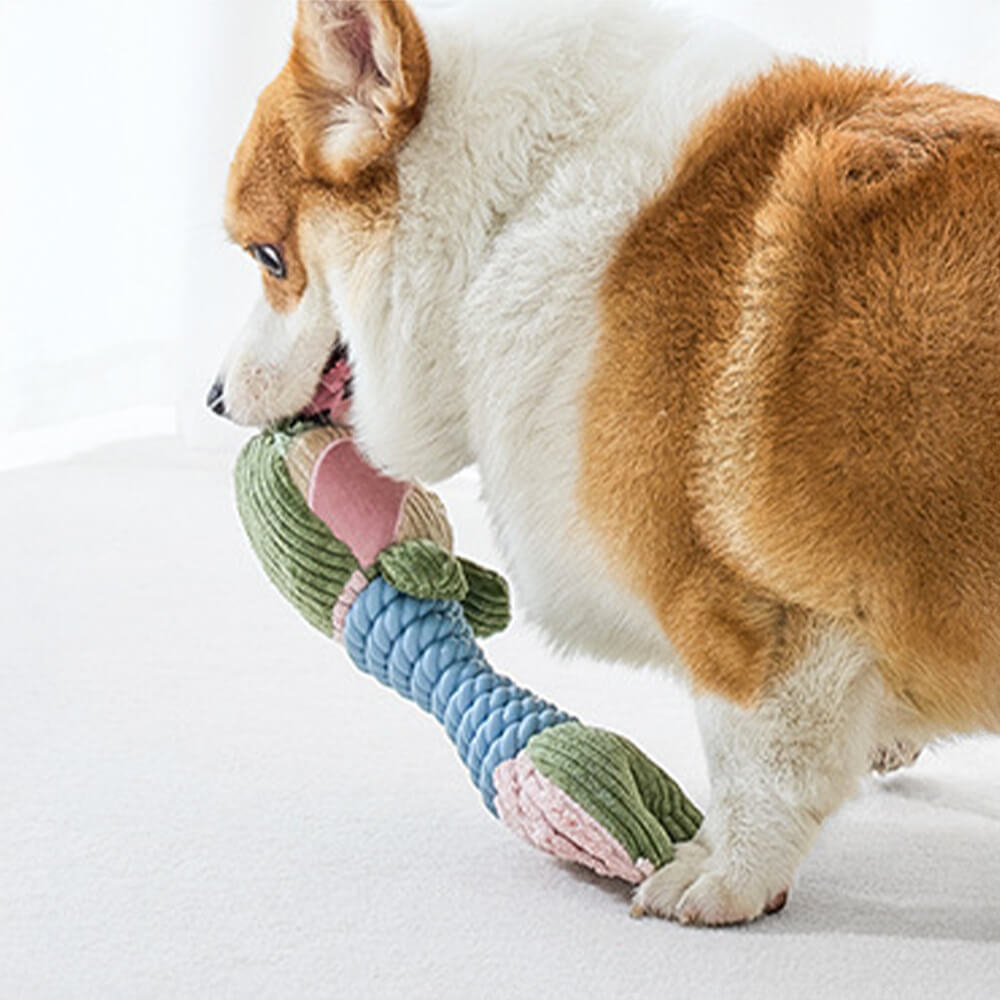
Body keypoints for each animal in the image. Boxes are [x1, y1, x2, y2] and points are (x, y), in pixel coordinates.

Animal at [211, 0, 1000, 924]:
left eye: (270, 258)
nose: (212, 399)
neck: (509, 211)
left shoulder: (754, 620)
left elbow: (754, 767)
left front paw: (721, 879)